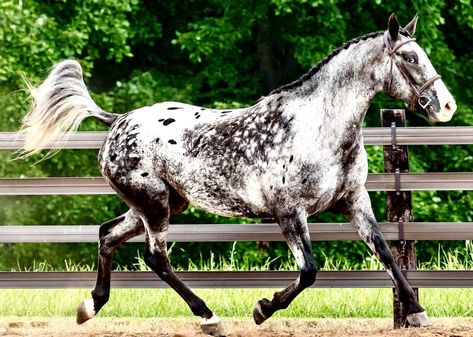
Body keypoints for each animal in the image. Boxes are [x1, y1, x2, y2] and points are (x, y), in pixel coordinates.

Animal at [18, 13, 454, 336]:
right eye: (410, 58)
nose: (446, 106)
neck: (317, 128)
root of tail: (118, 120)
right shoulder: (288, 213)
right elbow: (309, 272)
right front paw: (262, 308)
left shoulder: (353, 200)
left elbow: (385, 253)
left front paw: (417, 311)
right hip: (154, 206)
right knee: (156, 257)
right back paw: (208, 317)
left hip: (161, 204)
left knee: (108, 235)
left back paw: (89, 307)